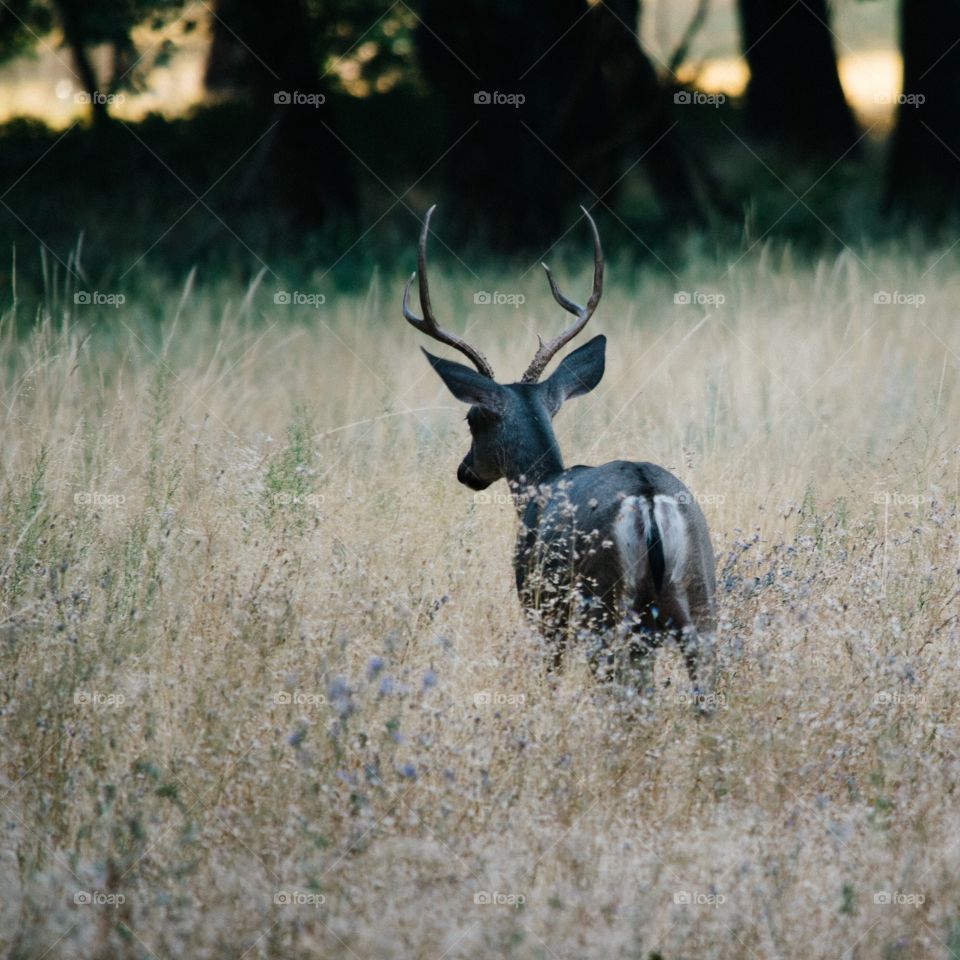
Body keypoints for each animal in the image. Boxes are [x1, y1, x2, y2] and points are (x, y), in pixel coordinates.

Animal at [402, 204, 716, 712]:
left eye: (472, 418)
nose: (465, 471)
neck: (540, 485)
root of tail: (648, 500)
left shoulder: (538, 602)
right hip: (701, 597)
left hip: (601, 604)